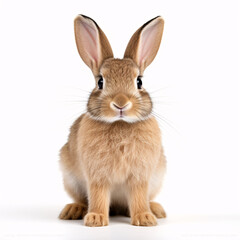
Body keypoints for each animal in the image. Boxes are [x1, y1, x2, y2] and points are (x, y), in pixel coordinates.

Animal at [58, 15, 167, 227]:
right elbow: (98, 195)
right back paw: (73, 210)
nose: (120, 103)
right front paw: (96, 219)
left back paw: (156, 210)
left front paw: (144, 218)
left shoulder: (140, 176)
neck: (120, 124)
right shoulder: (97, 175)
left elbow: (139, 196)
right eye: (100, 82)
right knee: (81, 199)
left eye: (139, 81)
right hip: (71, 178)